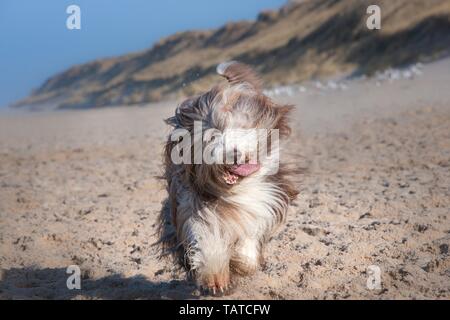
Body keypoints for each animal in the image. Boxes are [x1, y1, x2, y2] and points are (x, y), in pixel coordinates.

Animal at [158, 62, 298, 296]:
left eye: (241, 128)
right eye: (212, 136)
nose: (232, 153)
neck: (232, 189)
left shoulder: (264, 199)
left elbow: (250, 236)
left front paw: (242, 262)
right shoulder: (193, 208)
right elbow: (208, 238)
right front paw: (216, 280)